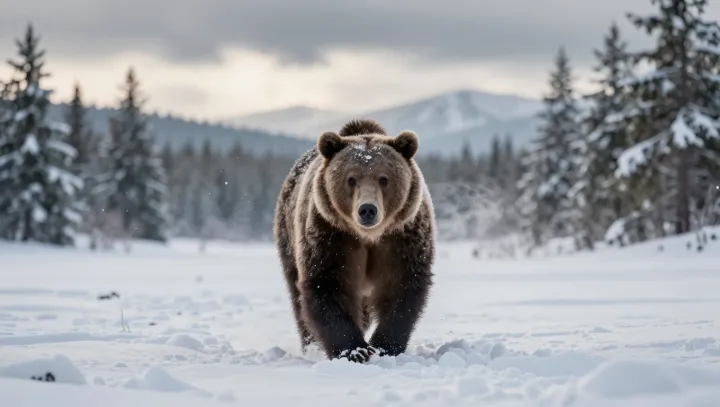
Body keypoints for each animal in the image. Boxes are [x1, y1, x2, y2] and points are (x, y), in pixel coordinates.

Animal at [273, 118, 436, 363]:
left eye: (384, 178)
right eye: (351, 179)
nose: (367, 209)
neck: (369, 237)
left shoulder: (402, 238)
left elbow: (403, 287)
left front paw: (384, 346)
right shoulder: (332, 237)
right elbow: (327, 285)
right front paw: (355, 350)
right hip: (289, 235)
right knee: (297, 296)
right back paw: (311, 345)